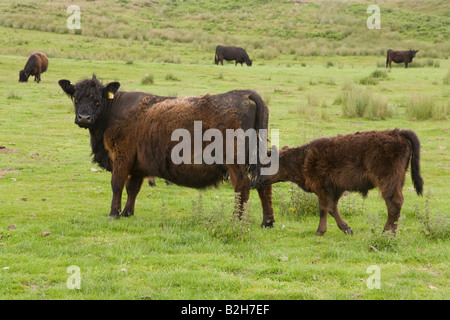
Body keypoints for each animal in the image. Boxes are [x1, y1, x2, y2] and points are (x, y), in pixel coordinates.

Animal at [56, 77, 274, 228]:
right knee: (263, 185)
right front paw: (127, 212)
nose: (84, 118)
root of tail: (244, 94)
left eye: (97, 101)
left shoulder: (121, 157)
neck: (113, 111)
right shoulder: (138, 164)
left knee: (242, 186)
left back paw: (236, 219)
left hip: (235, 161)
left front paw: (113, 213)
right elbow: (132, 189)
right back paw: (267, 221)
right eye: (76, 99)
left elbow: (117, 185)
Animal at [255, 129, 424, 236]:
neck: (303, 158)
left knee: (394, 204)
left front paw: (319, 231)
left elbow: (324, 209)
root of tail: (397, 133)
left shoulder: (322, 189)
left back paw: (387, 233)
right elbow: (332, 208)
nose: (257, 181)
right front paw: (347, 229)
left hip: (388, 181)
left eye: (266, 164)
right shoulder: (335, 189)